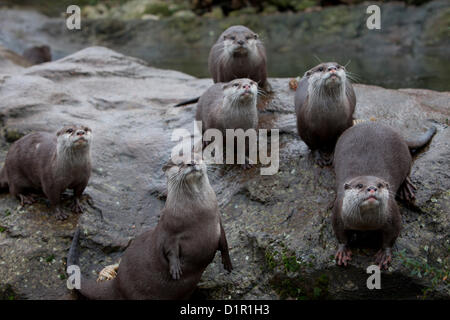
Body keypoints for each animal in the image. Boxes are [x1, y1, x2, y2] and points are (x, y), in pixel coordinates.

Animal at [69, 158, 236, 300]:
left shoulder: (217, 222)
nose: (192, 162)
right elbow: (169, 249)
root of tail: (118, 283)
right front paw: (175, 269)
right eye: (179, 163)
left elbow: (225, 243)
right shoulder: (169, 231)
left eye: (196, 155)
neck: (198, 215)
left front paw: (228, 264)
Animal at [332, 121, 434, 268]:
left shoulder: (392, 213)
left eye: (379, 185)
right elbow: (340, 235)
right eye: (360, 185)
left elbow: (391, 236)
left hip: (405, 157)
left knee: (407, 171)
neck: (365, 224)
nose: (372, 188)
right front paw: (343, 251)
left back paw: (406, 188)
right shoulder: (338, 213)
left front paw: (384, 255)